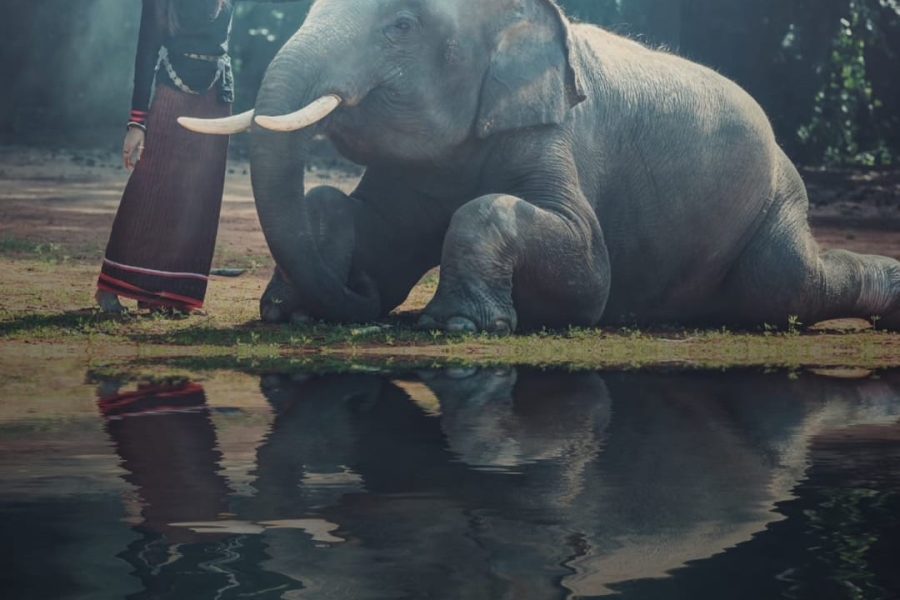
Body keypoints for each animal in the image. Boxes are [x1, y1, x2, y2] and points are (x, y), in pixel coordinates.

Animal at [183, 0, 900, 333]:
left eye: (401, 26)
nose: (350, 296)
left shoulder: (554, 133)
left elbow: (588, 275)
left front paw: (459, 326)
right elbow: (354, 221)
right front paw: (295, 312)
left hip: (773, 209)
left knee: (786, 288)